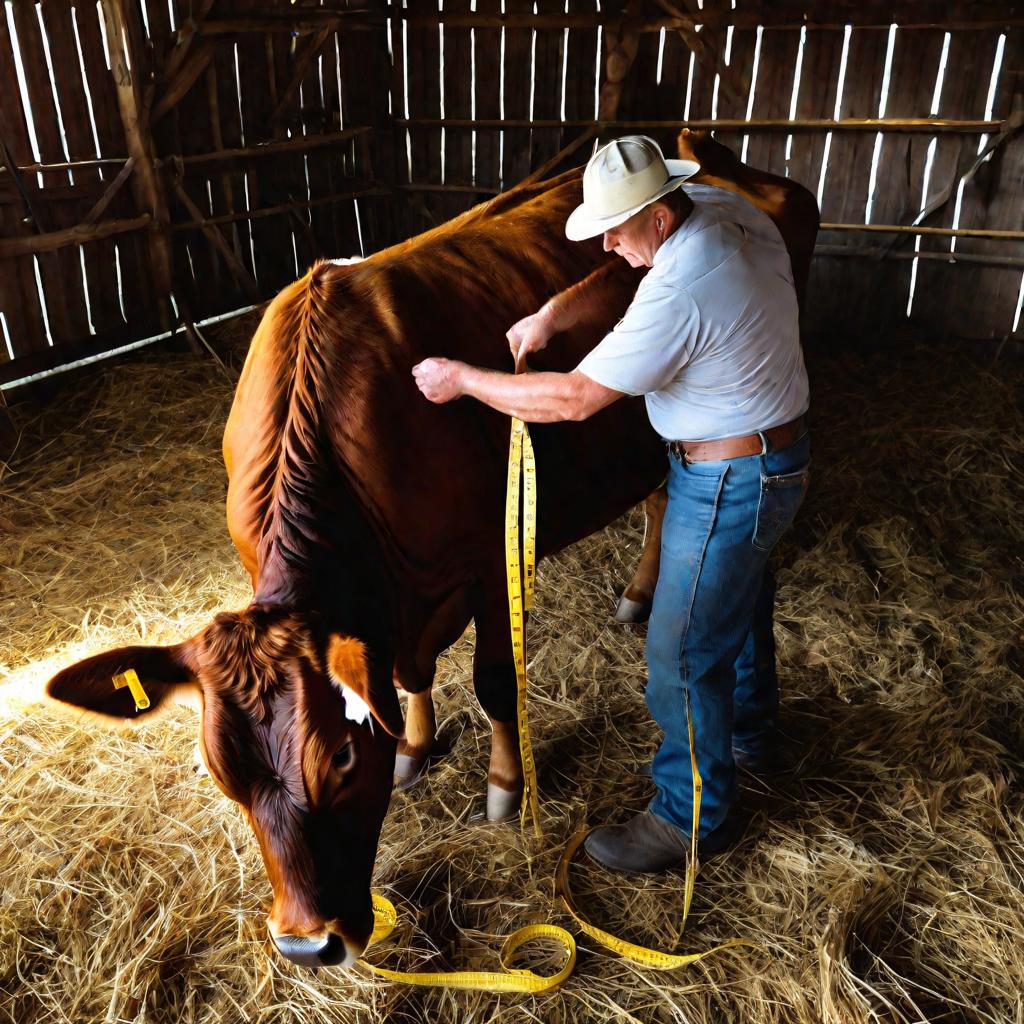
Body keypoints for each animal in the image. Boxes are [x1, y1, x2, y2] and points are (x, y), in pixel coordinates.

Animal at [46, 132, 815, 970]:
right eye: (223, 775)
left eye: (339, 760)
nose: (305, 945)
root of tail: (699, 148)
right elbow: (407, 675)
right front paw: (414, 743)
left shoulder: (488, 561)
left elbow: (494, 684)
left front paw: (504, 786)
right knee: (662, 497)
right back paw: (641, 596)